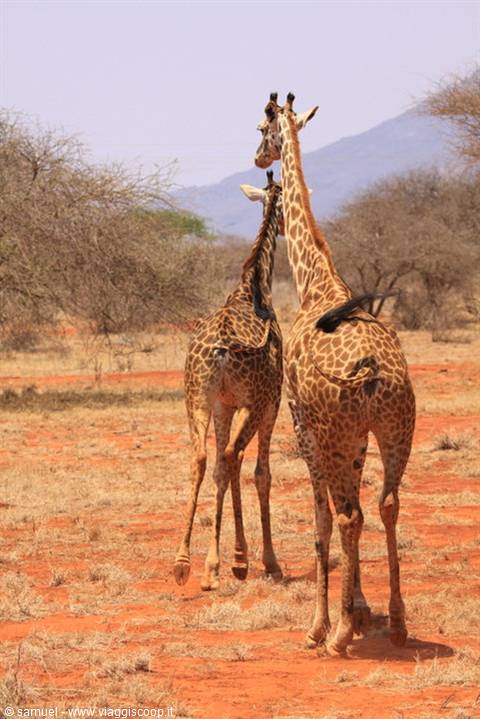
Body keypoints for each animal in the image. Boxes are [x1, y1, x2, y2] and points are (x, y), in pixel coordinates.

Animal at [174, 171, 284, 591]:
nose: (283, 227)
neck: (255, 288)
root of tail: (221, 345)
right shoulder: (271, 402)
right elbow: (260, 473)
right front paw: (261, 561)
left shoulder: (225, 404)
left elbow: (222, 469)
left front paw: (216, 564)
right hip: (254, 403)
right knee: (235, 456)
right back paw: (240, 560)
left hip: (196, 399)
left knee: (203, 459)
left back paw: (185, 563)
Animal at [254, 93, 415, 655]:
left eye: (261, 129)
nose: (258, 158)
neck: (316, 281)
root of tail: (371, 372)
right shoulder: (359, 438)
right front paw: (362, 609)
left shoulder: (304, 425)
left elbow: (322, 517)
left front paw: (323, 624)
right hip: (395, 430)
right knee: (386, 504)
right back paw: (398, 622)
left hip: (334, 430)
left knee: (347, 513)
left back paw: (339, 636)